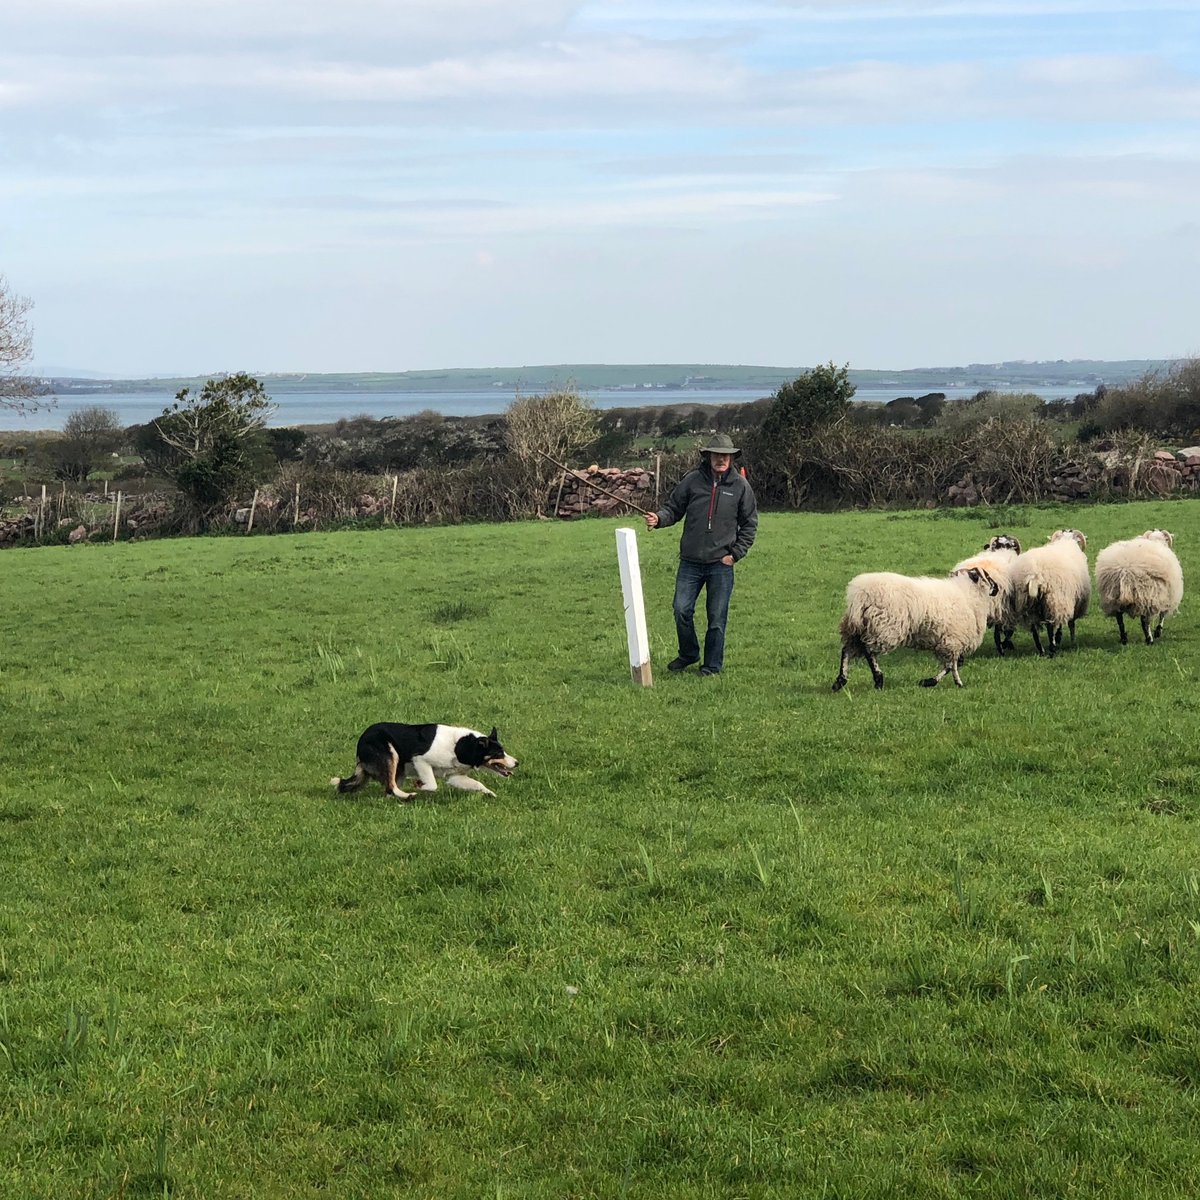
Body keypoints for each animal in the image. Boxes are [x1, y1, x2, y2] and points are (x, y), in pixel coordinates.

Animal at [331, 720, 518, 796]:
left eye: (503, 751)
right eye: (498, 754)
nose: (517, 763)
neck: (461, 746)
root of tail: (361, 741)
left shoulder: (455, 776)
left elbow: (477, 784)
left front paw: (489, 793)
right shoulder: (420, 760)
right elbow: (432, 785)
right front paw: (420, 785)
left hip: (397, 769)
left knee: (389, 790)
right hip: (390, 755)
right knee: (391, 787)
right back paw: (408, 795)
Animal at [830, 566, 998, 691]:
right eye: (987, 576)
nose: (997, 588)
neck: (968, 594)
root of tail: (859, 595)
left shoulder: (948, 642)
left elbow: (952, 664)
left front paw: (929, 682)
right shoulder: (952, 640)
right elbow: (952, 665)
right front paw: (952, 683)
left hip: (856, 628)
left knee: (847, 650)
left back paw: (840, 681)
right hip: (883, 628)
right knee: (868, 652)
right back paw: (878, 679)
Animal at [1008, 525, 1094, 657]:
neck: (1066, 542)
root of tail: (1034, 575)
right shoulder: (1071, 601)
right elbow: (1071, 623)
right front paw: (1071, 640)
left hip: (1027, 604)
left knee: (1034, 629)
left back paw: (1041, 650)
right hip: (1054, 600)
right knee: (1051, 625)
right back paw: (1053, 648)